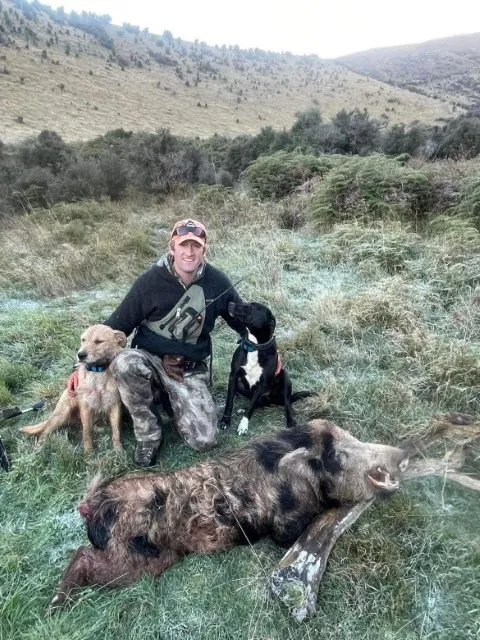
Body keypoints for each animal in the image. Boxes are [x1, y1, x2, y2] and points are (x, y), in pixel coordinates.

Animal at [218, 302, 310, 436]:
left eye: (252, 307)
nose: (230, 303)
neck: (255, 346)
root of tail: (273, 401)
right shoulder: (234, 376)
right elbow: (229, 401)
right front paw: (225, 421)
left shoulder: (262, 384)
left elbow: (251, 409)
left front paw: (243, 425)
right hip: (241, 386)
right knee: (258, 403)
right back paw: (243, 409)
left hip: (285, 377)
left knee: (287, 404)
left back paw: (290, 421)